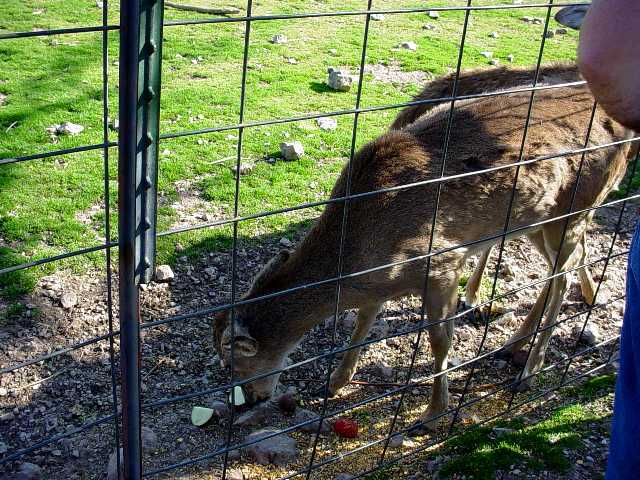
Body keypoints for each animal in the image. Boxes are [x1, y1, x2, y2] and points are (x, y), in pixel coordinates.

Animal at [215, 72, 636, 436]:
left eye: (233, 363)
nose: (250, 399)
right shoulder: (380, 282)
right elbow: (363, 322)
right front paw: (336, 380)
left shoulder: (442, 264)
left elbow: (440, 341)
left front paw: (433, 414)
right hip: (538, 219)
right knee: (558, 269)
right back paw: (515, 343)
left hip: (577, 207)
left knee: (562, 276)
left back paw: (529, 369)